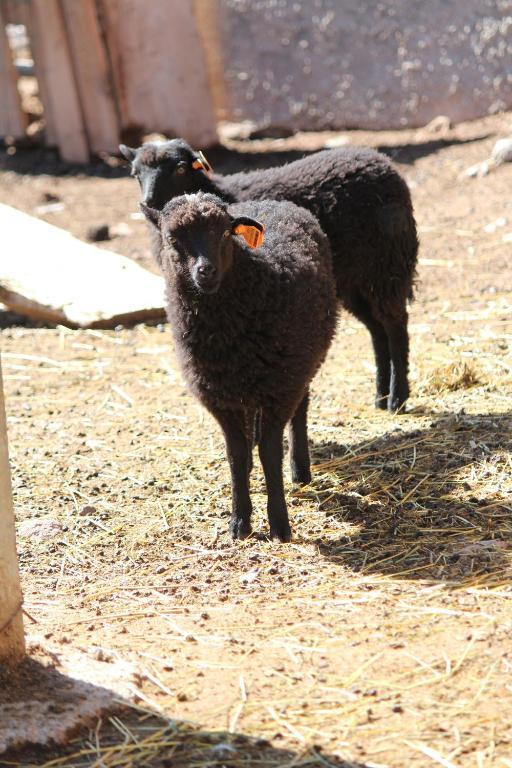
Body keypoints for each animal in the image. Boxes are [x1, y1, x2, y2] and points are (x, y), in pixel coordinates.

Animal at [121, 138, 420, 414]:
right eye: (135, 173)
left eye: (180, 168)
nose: (148, 202)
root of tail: (380, 160)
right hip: (352, 281)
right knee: (377, 329)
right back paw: (380, 396)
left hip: (385, 264)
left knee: (395, 324)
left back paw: (397, 399)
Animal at [142, 191, 338, 540]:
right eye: (172, 238)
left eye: (224, 233)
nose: (205, 271)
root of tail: (274, 200)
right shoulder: (219, 396)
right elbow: (236, 454)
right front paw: (240, 521)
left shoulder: (280, 387)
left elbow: (269, 454)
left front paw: (279, 524)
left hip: (302, 362)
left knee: (301, 408)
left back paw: (300, 469)